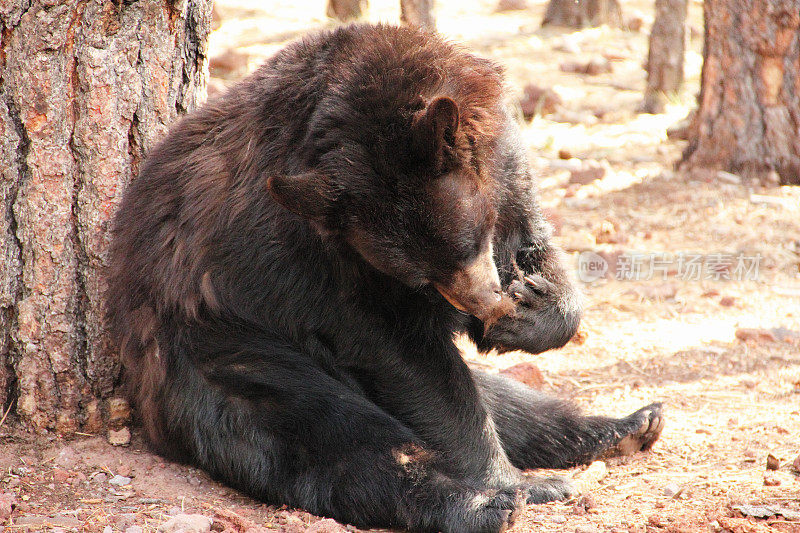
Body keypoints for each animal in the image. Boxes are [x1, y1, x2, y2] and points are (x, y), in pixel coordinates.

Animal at [108, 22, 664, 532]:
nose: (482, 309)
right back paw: (487, 502)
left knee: (513, 405)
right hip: (229, 354)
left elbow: (535, 242)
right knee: (334, 436)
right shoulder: (315, 262)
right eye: (419, 277)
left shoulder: (506, 168)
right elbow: (402, 354)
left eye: (469, 243)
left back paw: (628, 426)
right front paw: (507, 483)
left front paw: (529, 310)